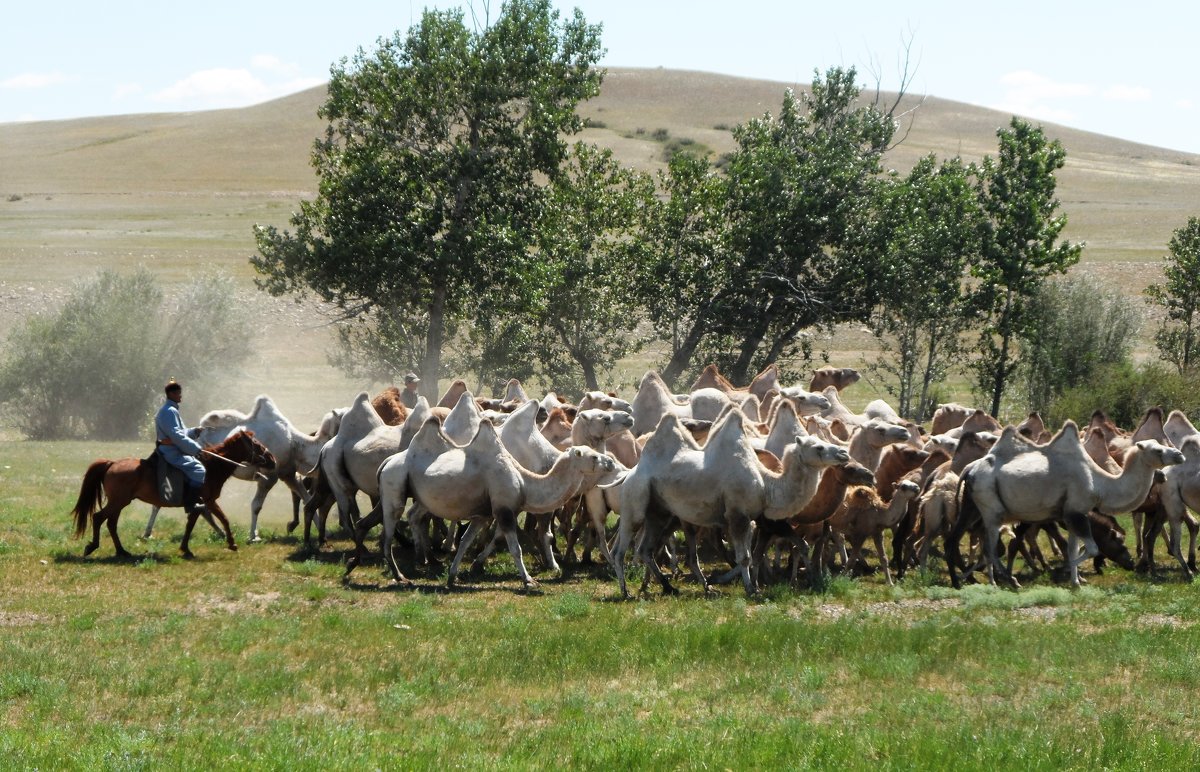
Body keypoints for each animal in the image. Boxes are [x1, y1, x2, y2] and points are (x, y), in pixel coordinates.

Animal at [70, 432, 276, 559]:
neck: (212, 466)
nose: (273, 460)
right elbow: (224, 519)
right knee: (99, 517)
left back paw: (121, 551)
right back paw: (93, 546)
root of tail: (111, 463)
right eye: (256, 444)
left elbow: (190, 525)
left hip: (120, 502)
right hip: (118, 501)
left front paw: (185, 549)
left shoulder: (199, 504)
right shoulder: (209, 501)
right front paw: (232, 543)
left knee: (111, 524)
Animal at [614, 410, 849, 597]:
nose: (843, 453)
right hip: (634, 501)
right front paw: (751, 589)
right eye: (818, 447)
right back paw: (626, 592)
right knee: (621, 548)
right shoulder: (737, 515)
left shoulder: (750, 518)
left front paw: (749, 586)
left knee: (646, 549)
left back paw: (670, 587)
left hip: (659, 511)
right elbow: (745, 557)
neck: (766, 485)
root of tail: (631, 471)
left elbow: (751, 556)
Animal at [950, 420, 1185, 588]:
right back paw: (1006, 580)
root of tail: (969, 469)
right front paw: (1061, 572)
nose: (1180, 455)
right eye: (1157, 450)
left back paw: (967, 578)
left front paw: (1076, 581)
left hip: (973, 504)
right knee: (990, 546)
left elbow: (1073, 548)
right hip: (992, 506)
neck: (1099, 484)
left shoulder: (1072, 514)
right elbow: (1091, 548)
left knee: (966, 538)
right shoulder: (1076, 513)